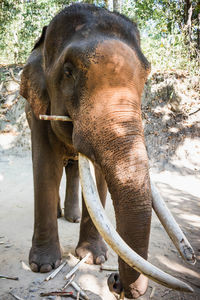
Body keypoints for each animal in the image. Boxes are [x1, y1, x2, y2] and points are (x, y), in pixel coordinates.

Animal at [20, 3, 195, 298]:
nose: (114, 281)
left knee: (73, 168)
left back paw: (72, 217)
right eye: (68, 71)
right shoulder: (37, 109)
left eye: (146, 76)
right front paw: (42, 266)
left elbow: (98, 176)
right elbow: (45, 167)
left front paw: (93, 259)